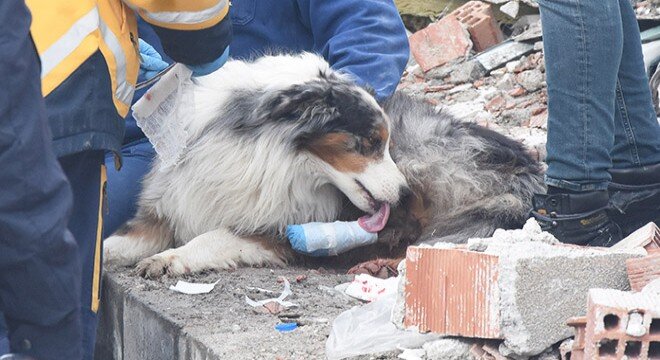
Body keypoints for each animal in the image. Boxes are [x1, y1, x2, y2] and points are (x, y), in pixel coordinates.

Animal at [104, 53, 548, 278]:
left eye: (386, 144)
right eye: (370, 144)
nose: (403, 193)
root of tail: (528, 171)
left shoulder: (278, 228)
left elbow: (215, 237)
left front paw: (170, 258)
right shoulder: (160, 213)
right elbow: (113, 243)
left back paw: (385, 263)